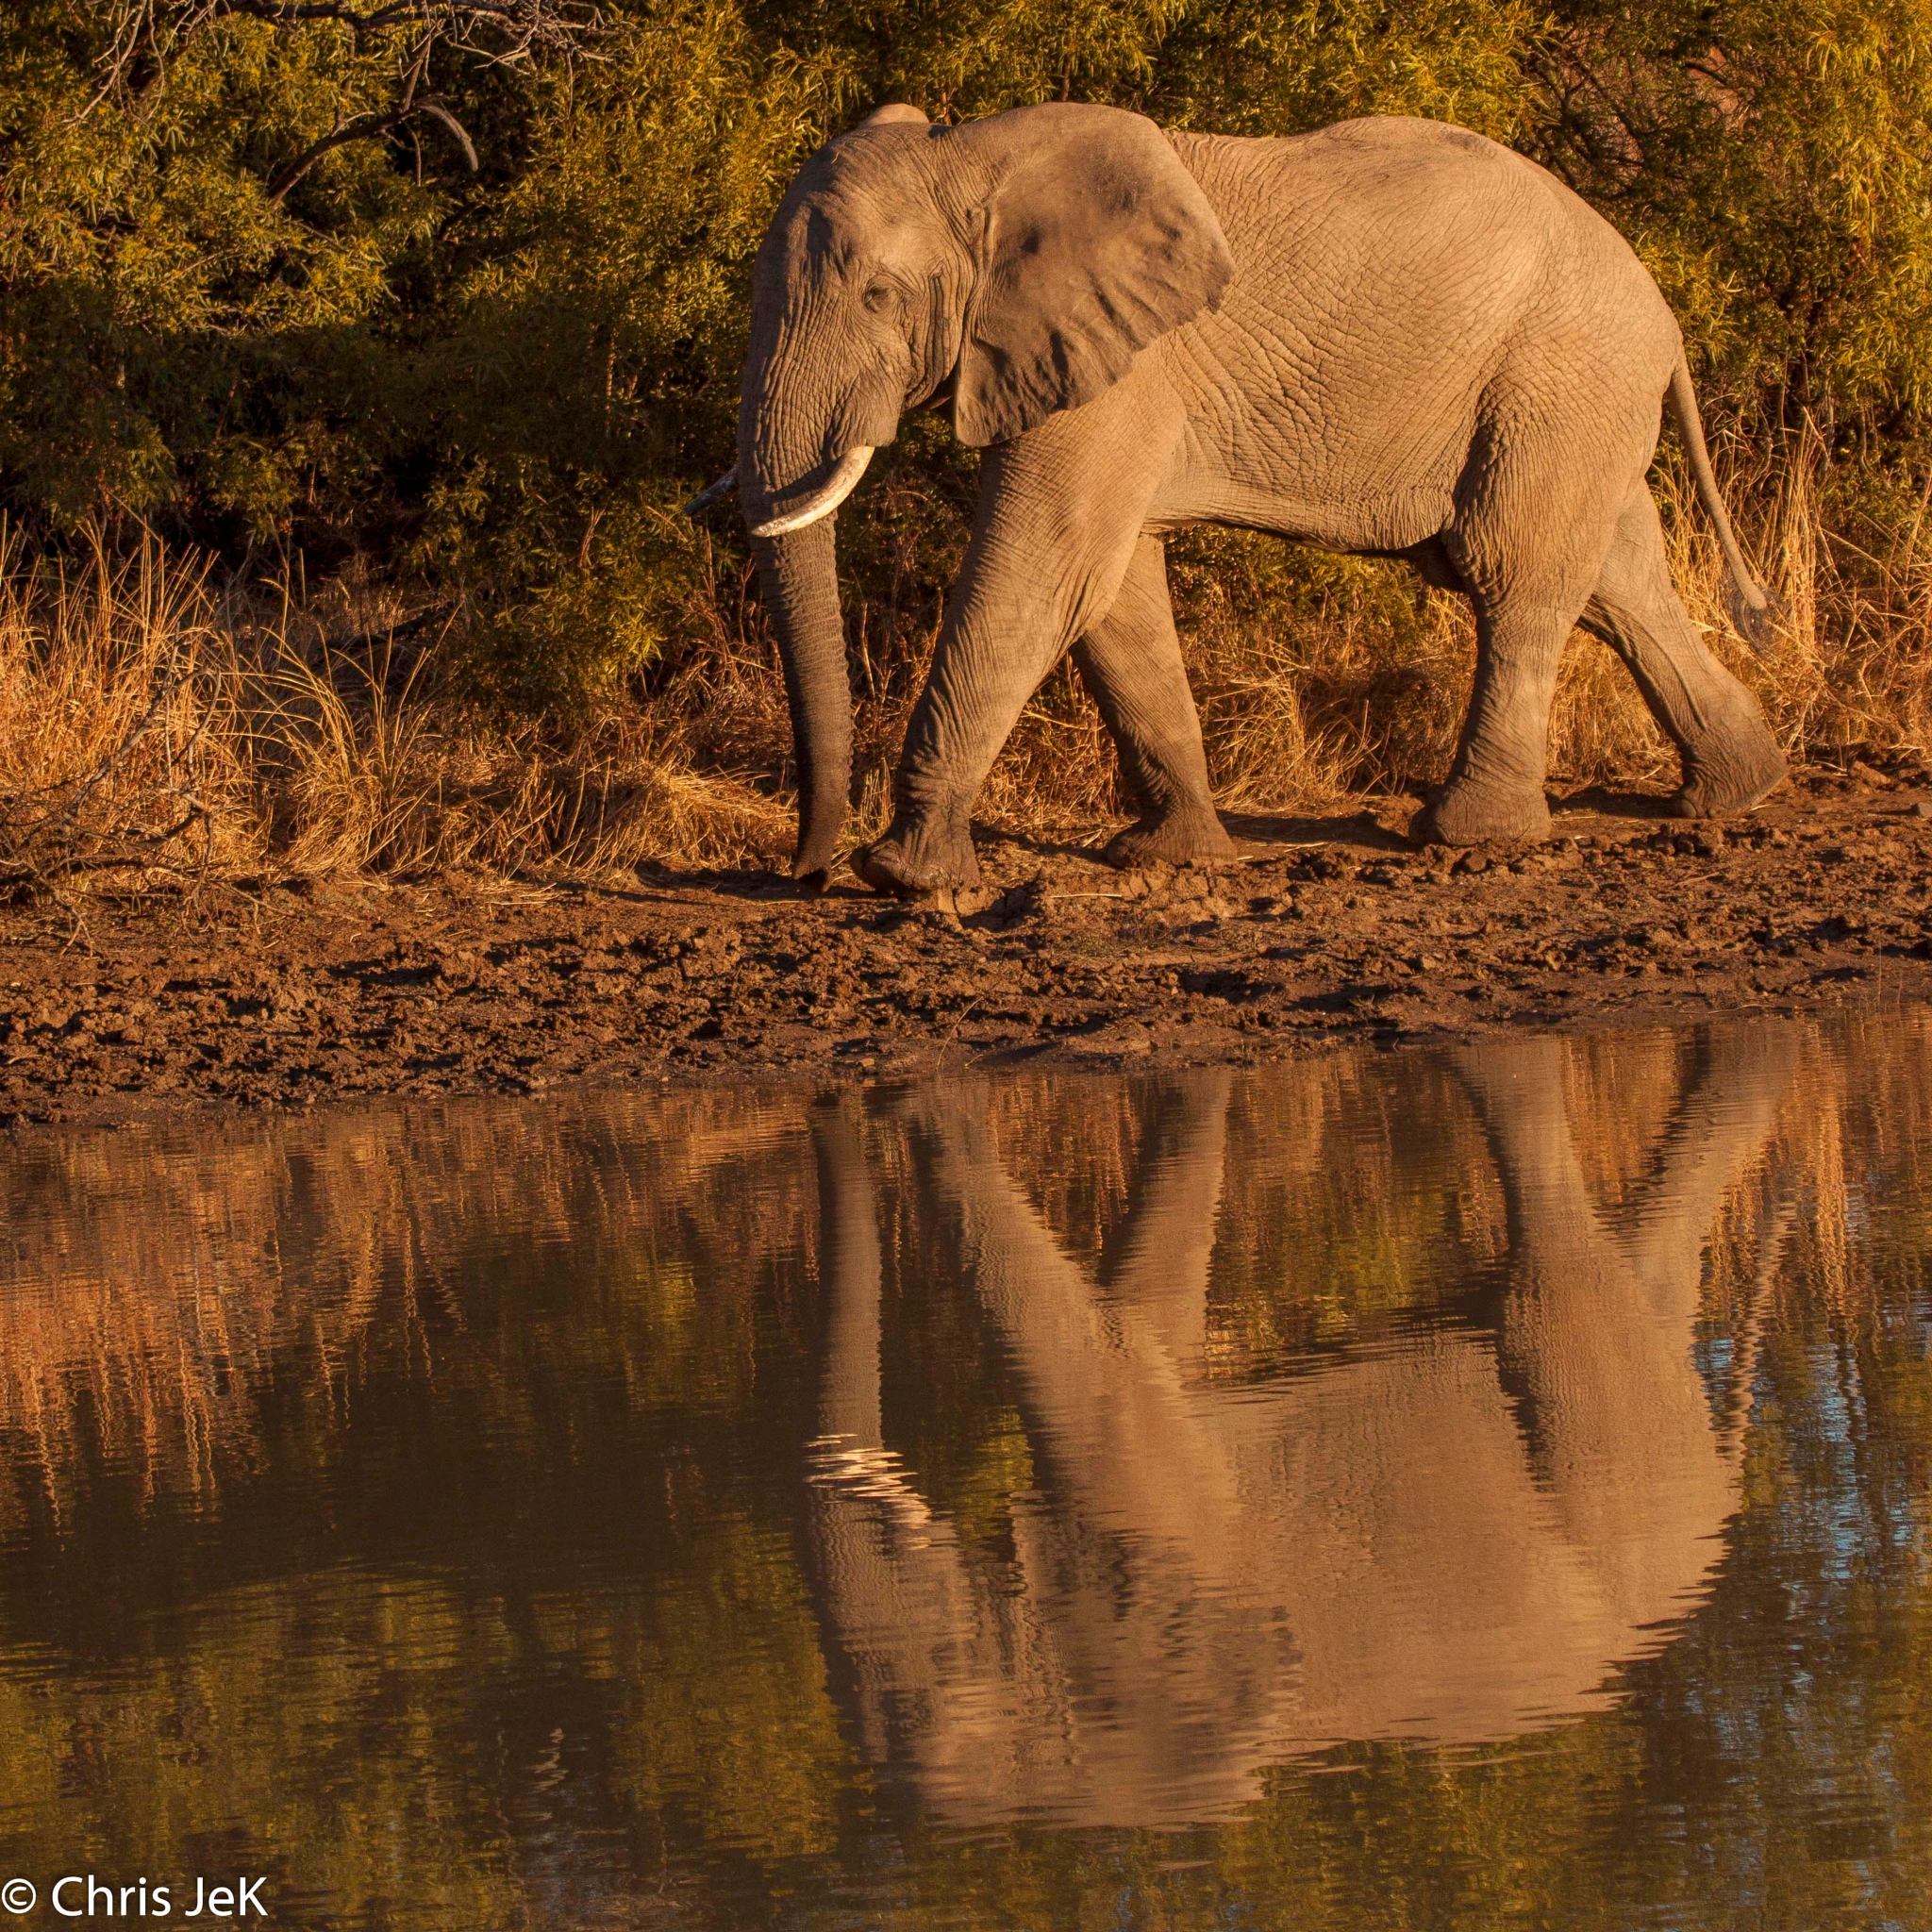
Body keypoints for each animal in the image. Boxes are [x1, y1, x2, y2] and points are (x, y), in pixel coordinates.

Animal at [704, 101, 1788, 894]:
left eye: (879, 298)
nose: (803, 872)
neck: (974, 160)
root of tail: (1664, 311)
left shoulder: (1120, 367)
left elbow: (1045, 570)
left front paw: (907, 877)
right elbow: (1112, 595)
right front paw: (1168, 857)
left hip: (1554, 378)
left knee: (1510, 571)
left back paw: (1467, 838)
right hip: (1571, 398)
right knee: (1615, 576)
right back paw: (1734, 793)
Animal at [801, 1030, 1796, 1826]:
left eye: (943, 1670)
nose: (833, 1103)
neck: (1075, 1781)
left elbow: (1110, 1365)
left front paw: (918, 1088)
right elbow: (1145, 1318)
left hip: (1598, 1422)